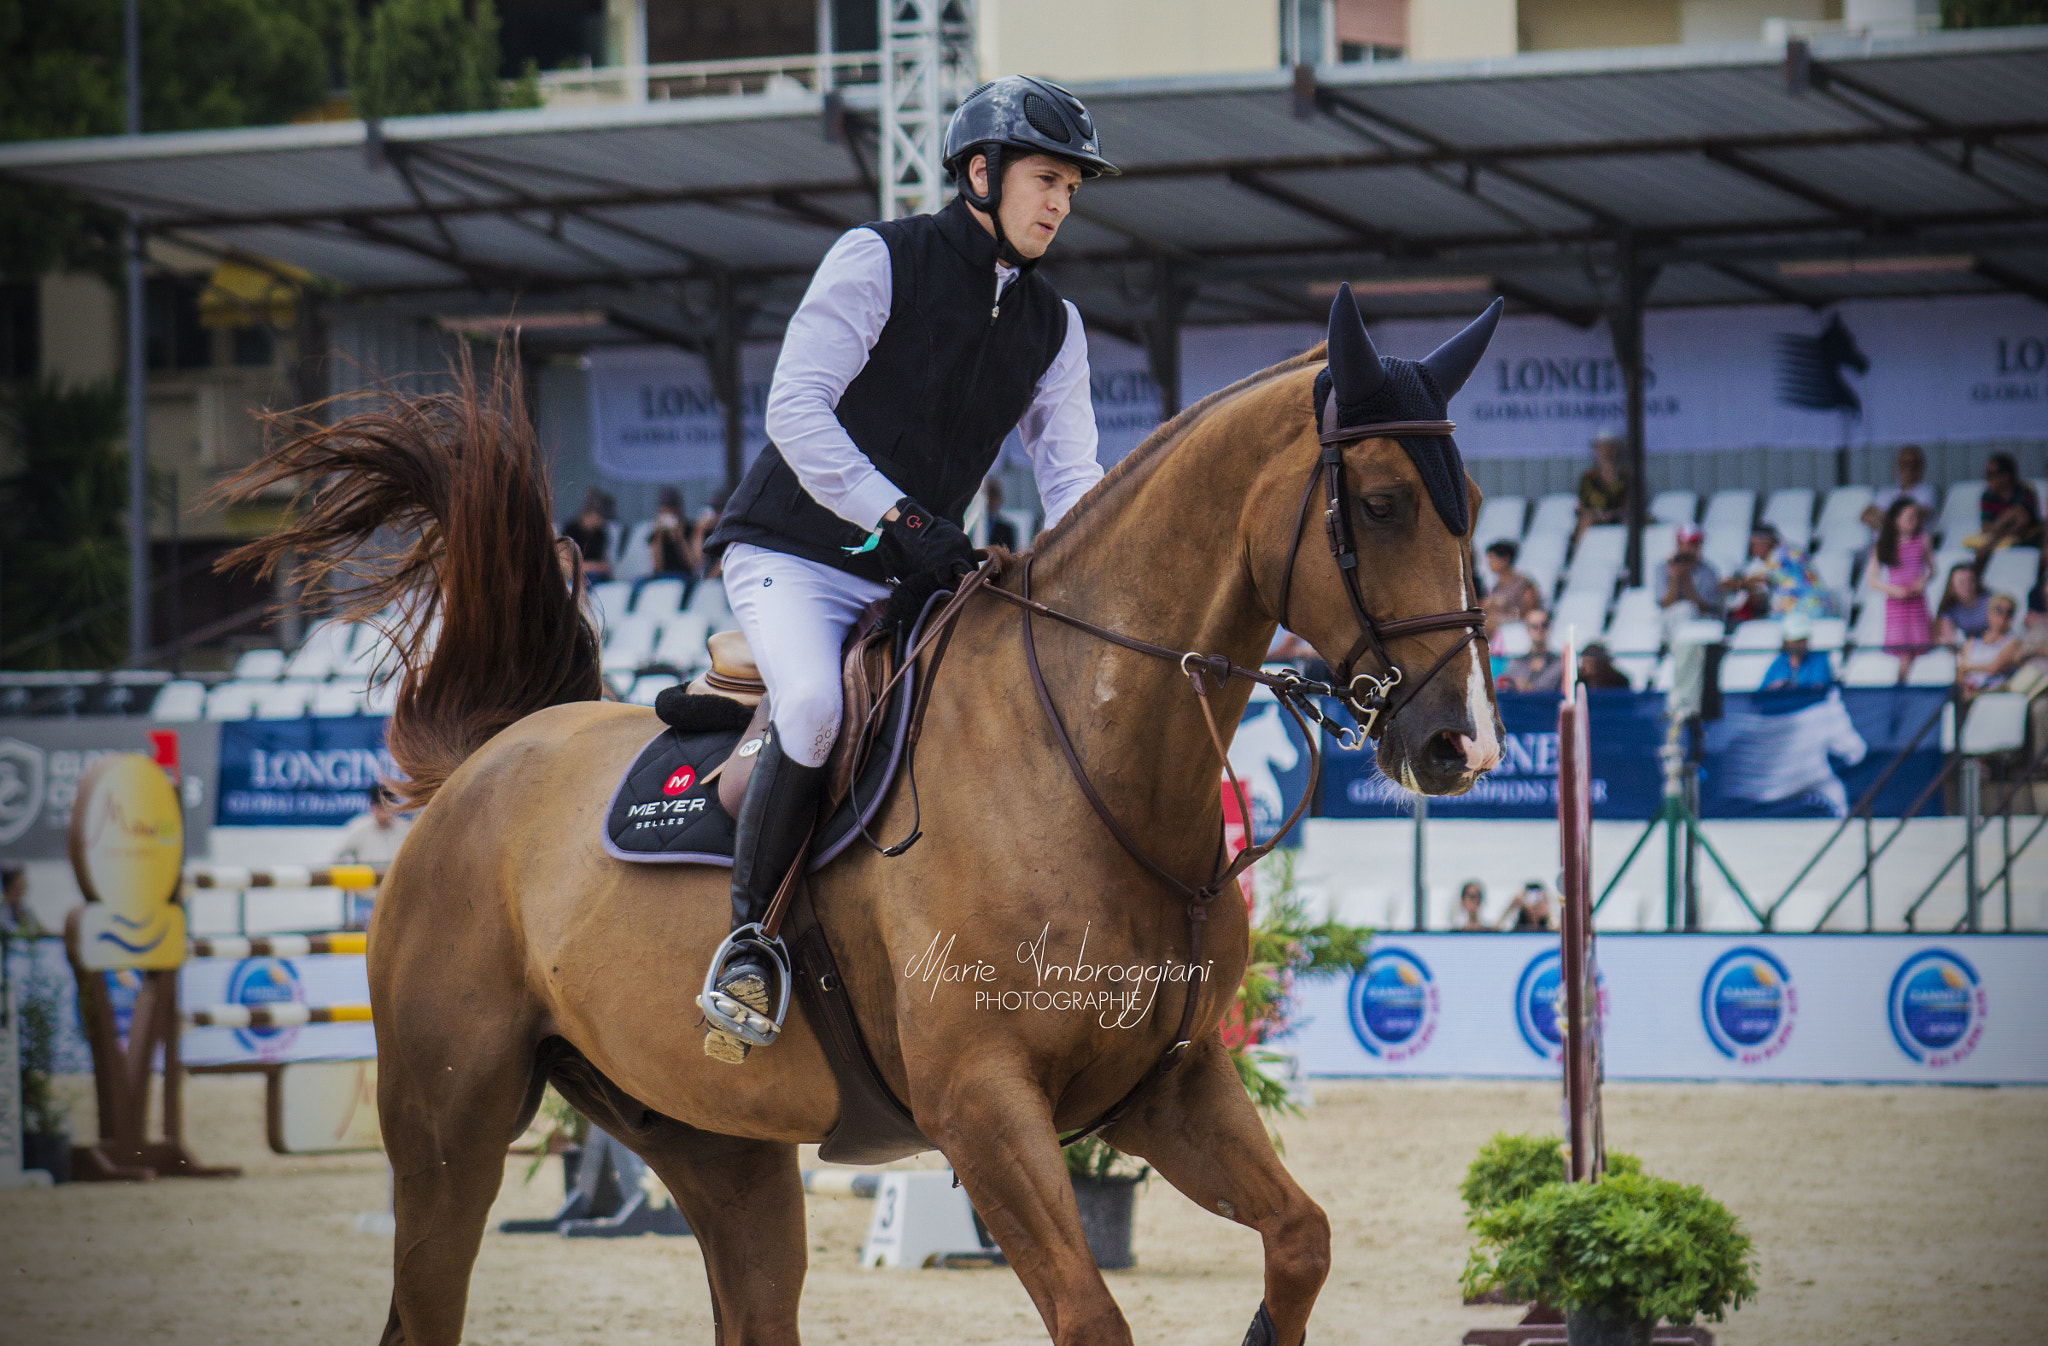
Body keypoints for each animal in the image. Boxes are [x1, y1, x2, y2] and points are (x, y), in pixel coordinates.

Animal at [224, 288, 1507, 1335]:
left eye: (1473, 509)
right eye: (1380, 504)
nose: (1460, 743)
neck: (1085, 756)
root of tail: (489, 760)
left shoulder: (1168, 1083)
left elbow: (1299, 1241)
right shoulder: (981, 1102)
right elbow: (1093, 1315)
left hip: (716, 1146)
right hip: (450, 1125)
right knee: (422, 1302)